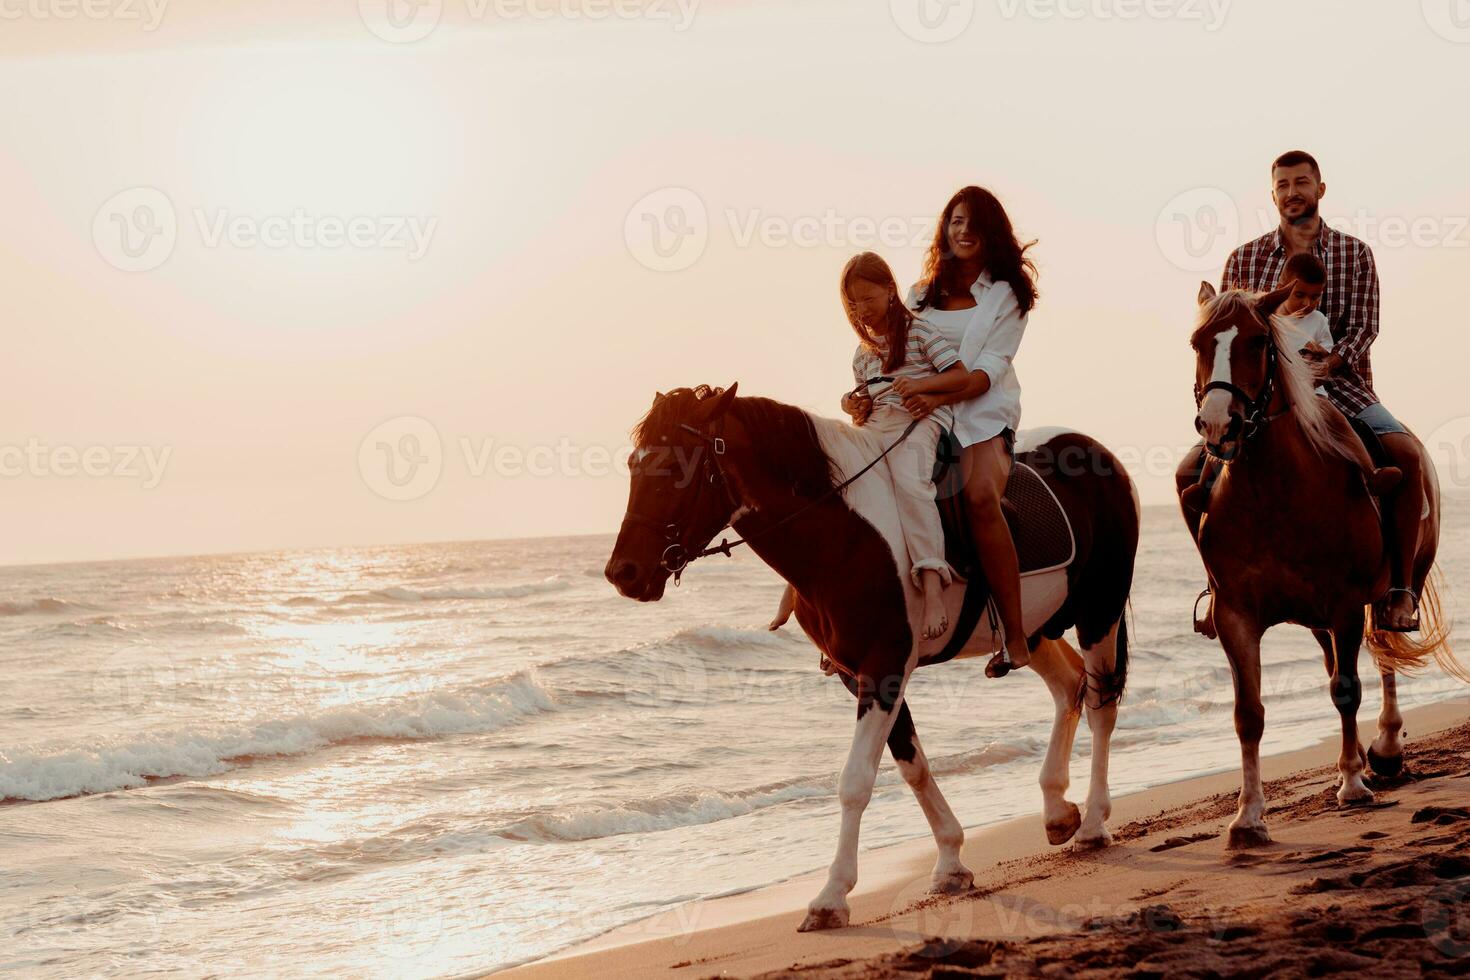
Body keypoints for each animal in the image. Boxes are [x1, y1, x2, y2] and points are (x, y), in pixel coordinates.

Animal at [599, 384, 1134, 934]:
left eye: (675, 468)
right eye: (634, 464)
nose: (624, 572)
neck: (840, 534)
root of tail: (1095, 452)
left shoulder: (884, 669)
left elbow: (855, 782)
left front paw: (831, 896)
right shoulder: (857, 675)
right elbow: (912, 766)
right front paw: (950, 864)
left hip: (1101, 610)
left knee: (1101, 707)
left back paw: (1093, 823)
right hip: (1033, 628)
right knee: (1069, 688)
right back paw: (1057, 811)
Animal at [1181, 285, 1470, 852]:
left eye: (1256, 342)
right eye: (1199, 341)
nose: (1219, 424)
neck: (1273, 492)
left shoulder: (1344, 605)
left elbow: (1346, 690)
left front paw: (1354, 786)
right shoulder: (1235, 616)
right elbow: (1249, 714)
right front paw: (1248, 817)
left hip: (1383, 594)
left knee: (1382, 657)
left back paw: (1384, 750)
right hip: (1316, 620)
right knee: (1340, 663)